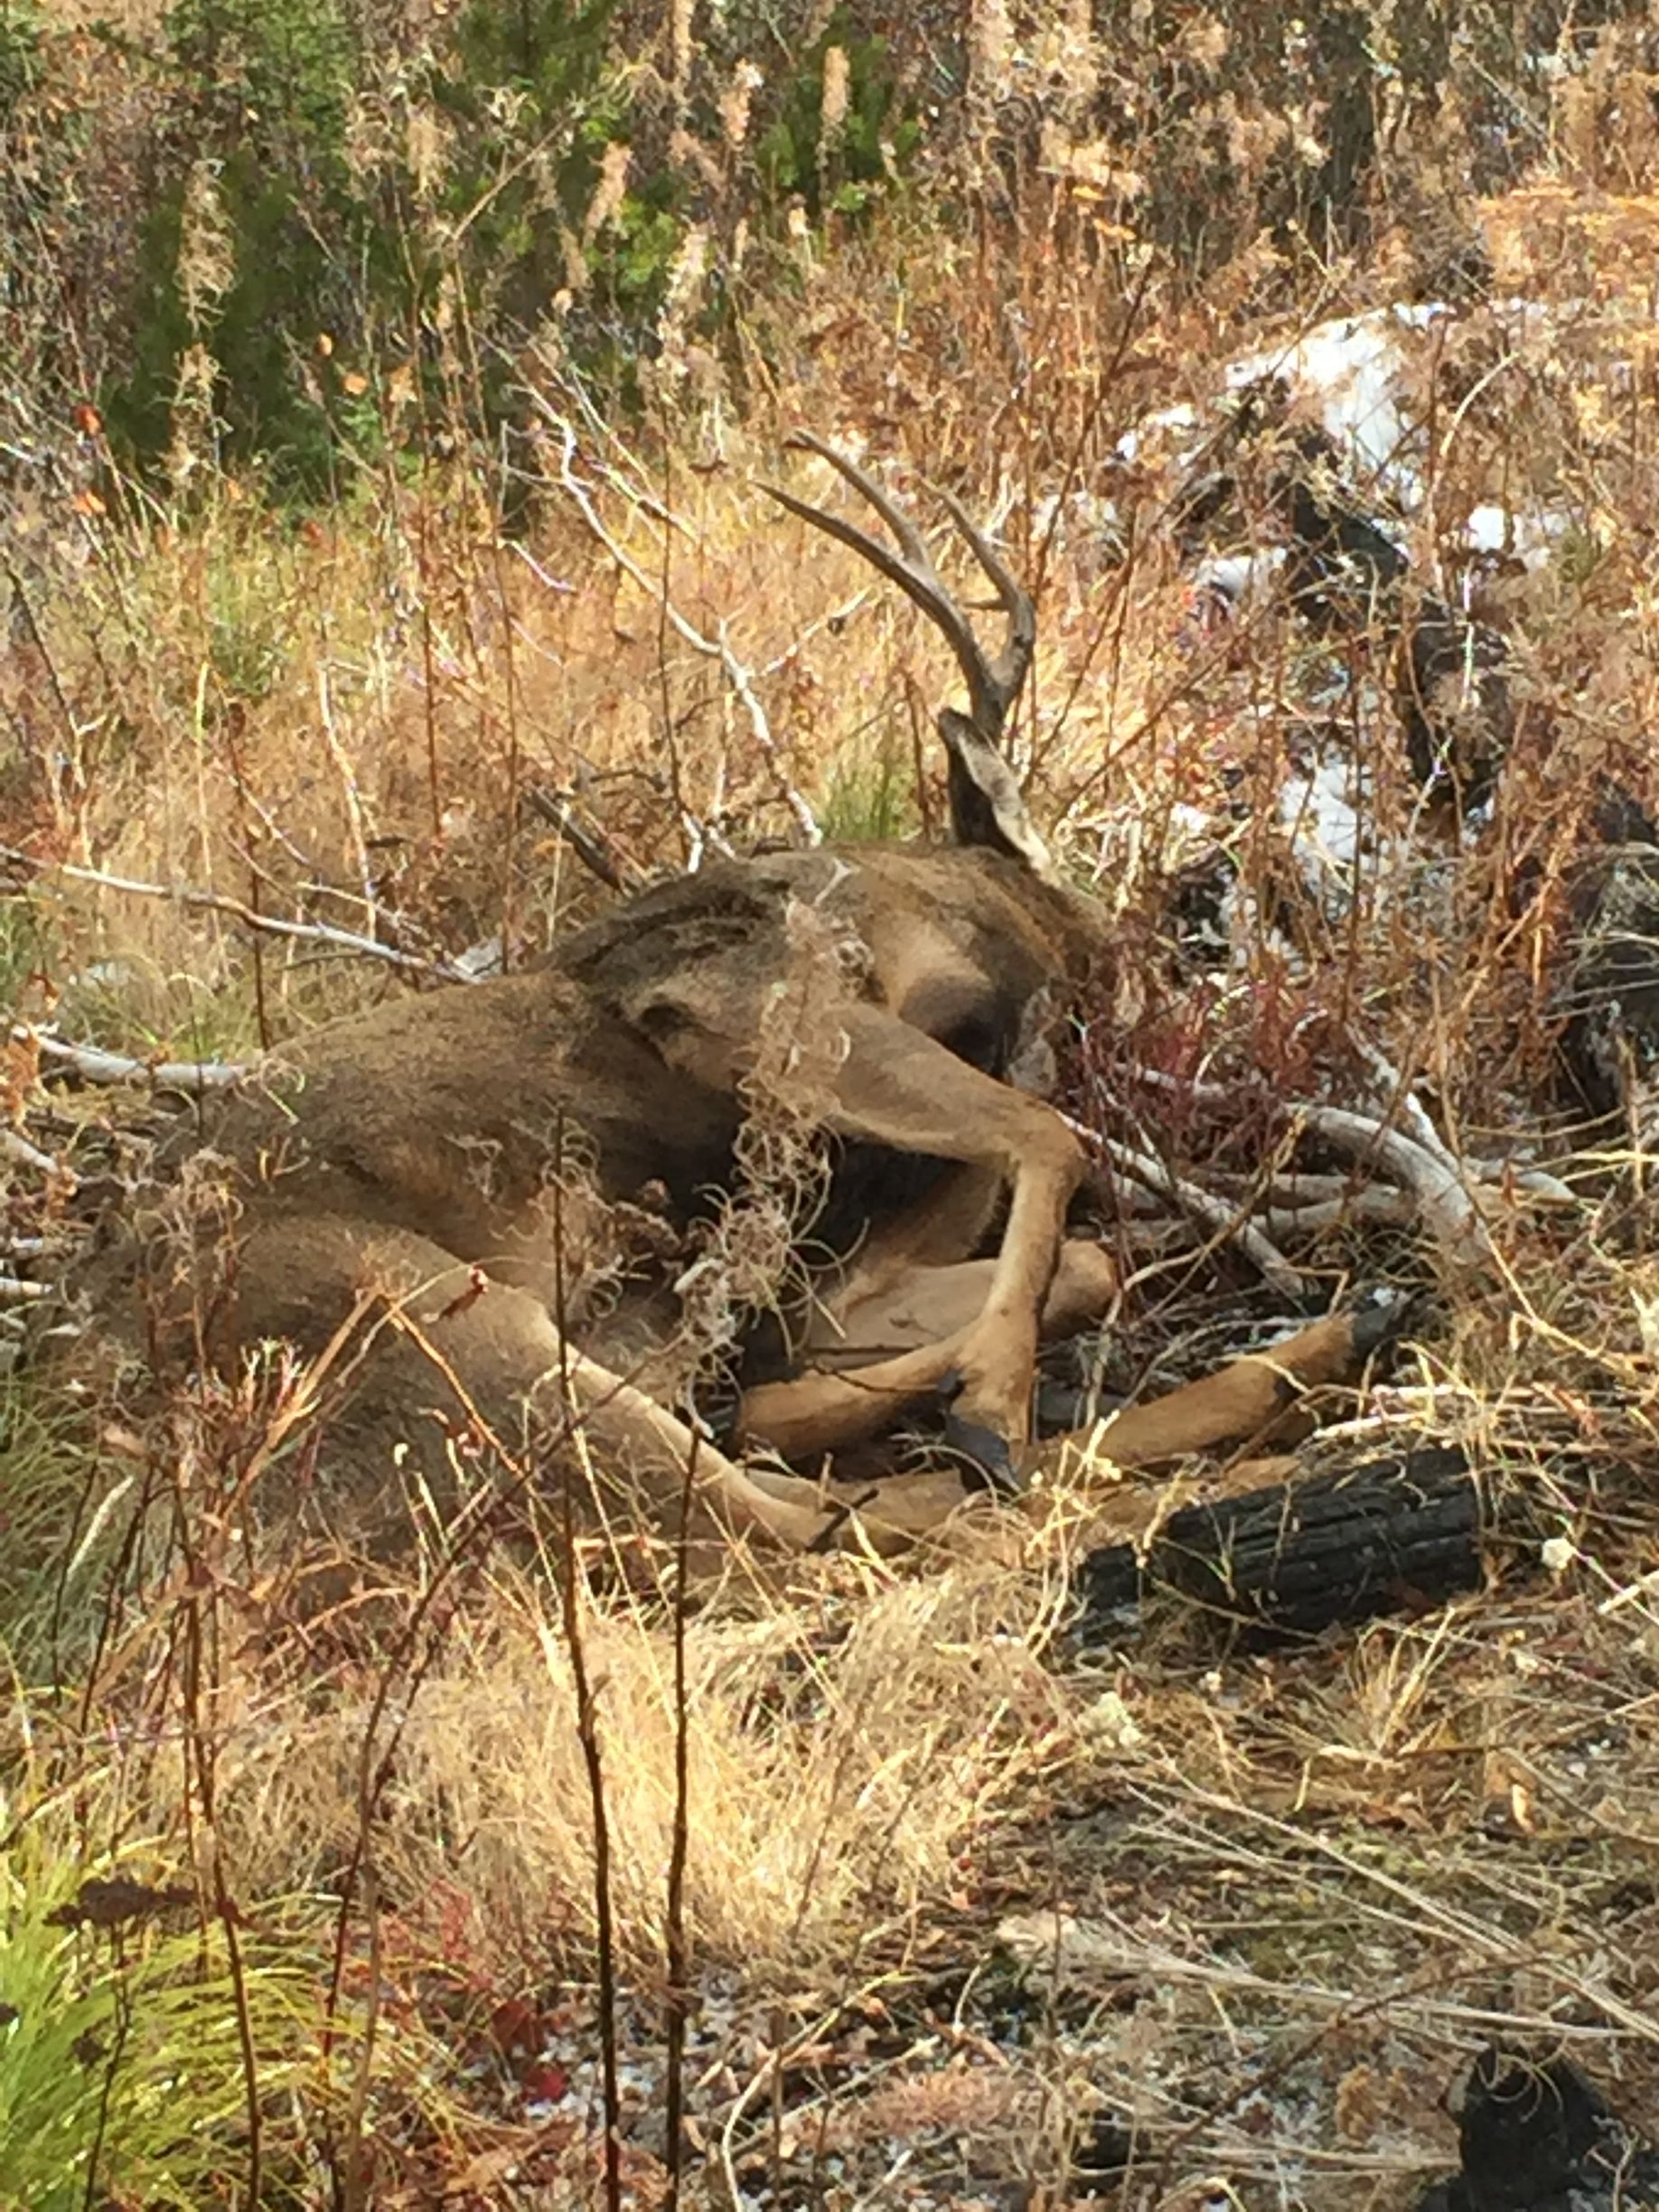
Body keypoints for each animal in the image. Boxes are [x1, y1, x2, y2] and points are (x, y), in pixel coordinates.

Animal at [128, 435, 1399, 1564]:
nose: (1172, 938)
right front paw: (988, 1391)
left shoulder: (840, 1266)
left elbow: (1073, 1258)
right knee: (803, 1526)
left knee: (797, 1488)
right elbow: (1047, 1135)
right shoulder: (754, 1000)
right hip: (427, 1313)